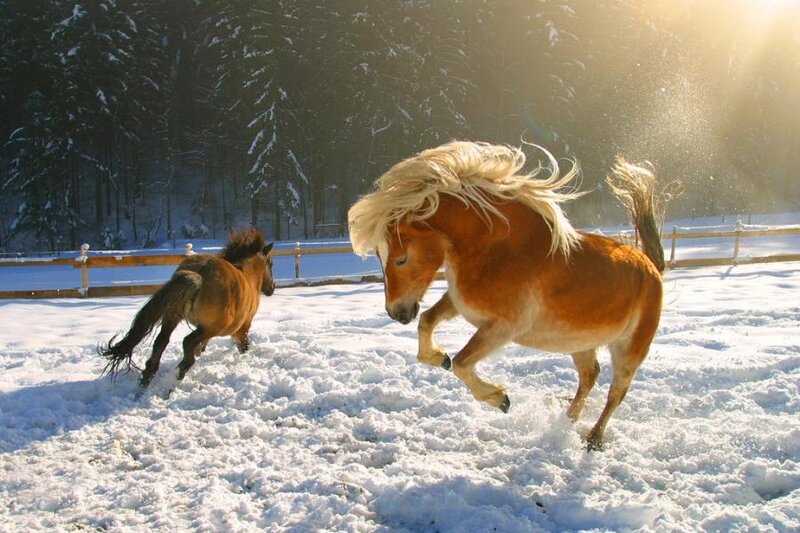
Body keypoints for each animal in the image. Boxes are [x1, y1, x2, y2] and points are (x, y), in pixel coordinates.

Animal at [100, 228, 276, 388]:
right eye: (271, 264)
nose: (272, 288)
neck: (247, 275)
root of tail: (199, 274)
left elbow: (201, 346)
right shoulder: (243, 327)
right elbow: (243, 346)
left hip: (173, 316)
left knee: (161, 341)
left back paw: (145, 381)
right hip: (211, 328)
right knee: (187, 342)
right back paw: (176, 377)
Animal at [348, 141, 664, 449]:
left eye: (401, 259)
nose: (396, 313)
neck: (499, 250)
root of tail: (651, 268)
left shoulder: (503, 328)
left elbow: (462, 363)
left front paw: (500, 399)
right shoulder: (460, 303)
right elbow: (427, 322)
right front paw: (439, 358)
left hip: (628, 349)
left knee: (616, 392)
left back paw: (594, 439)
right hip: (582, 342)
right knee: (589, 376)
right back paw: (567, 421)